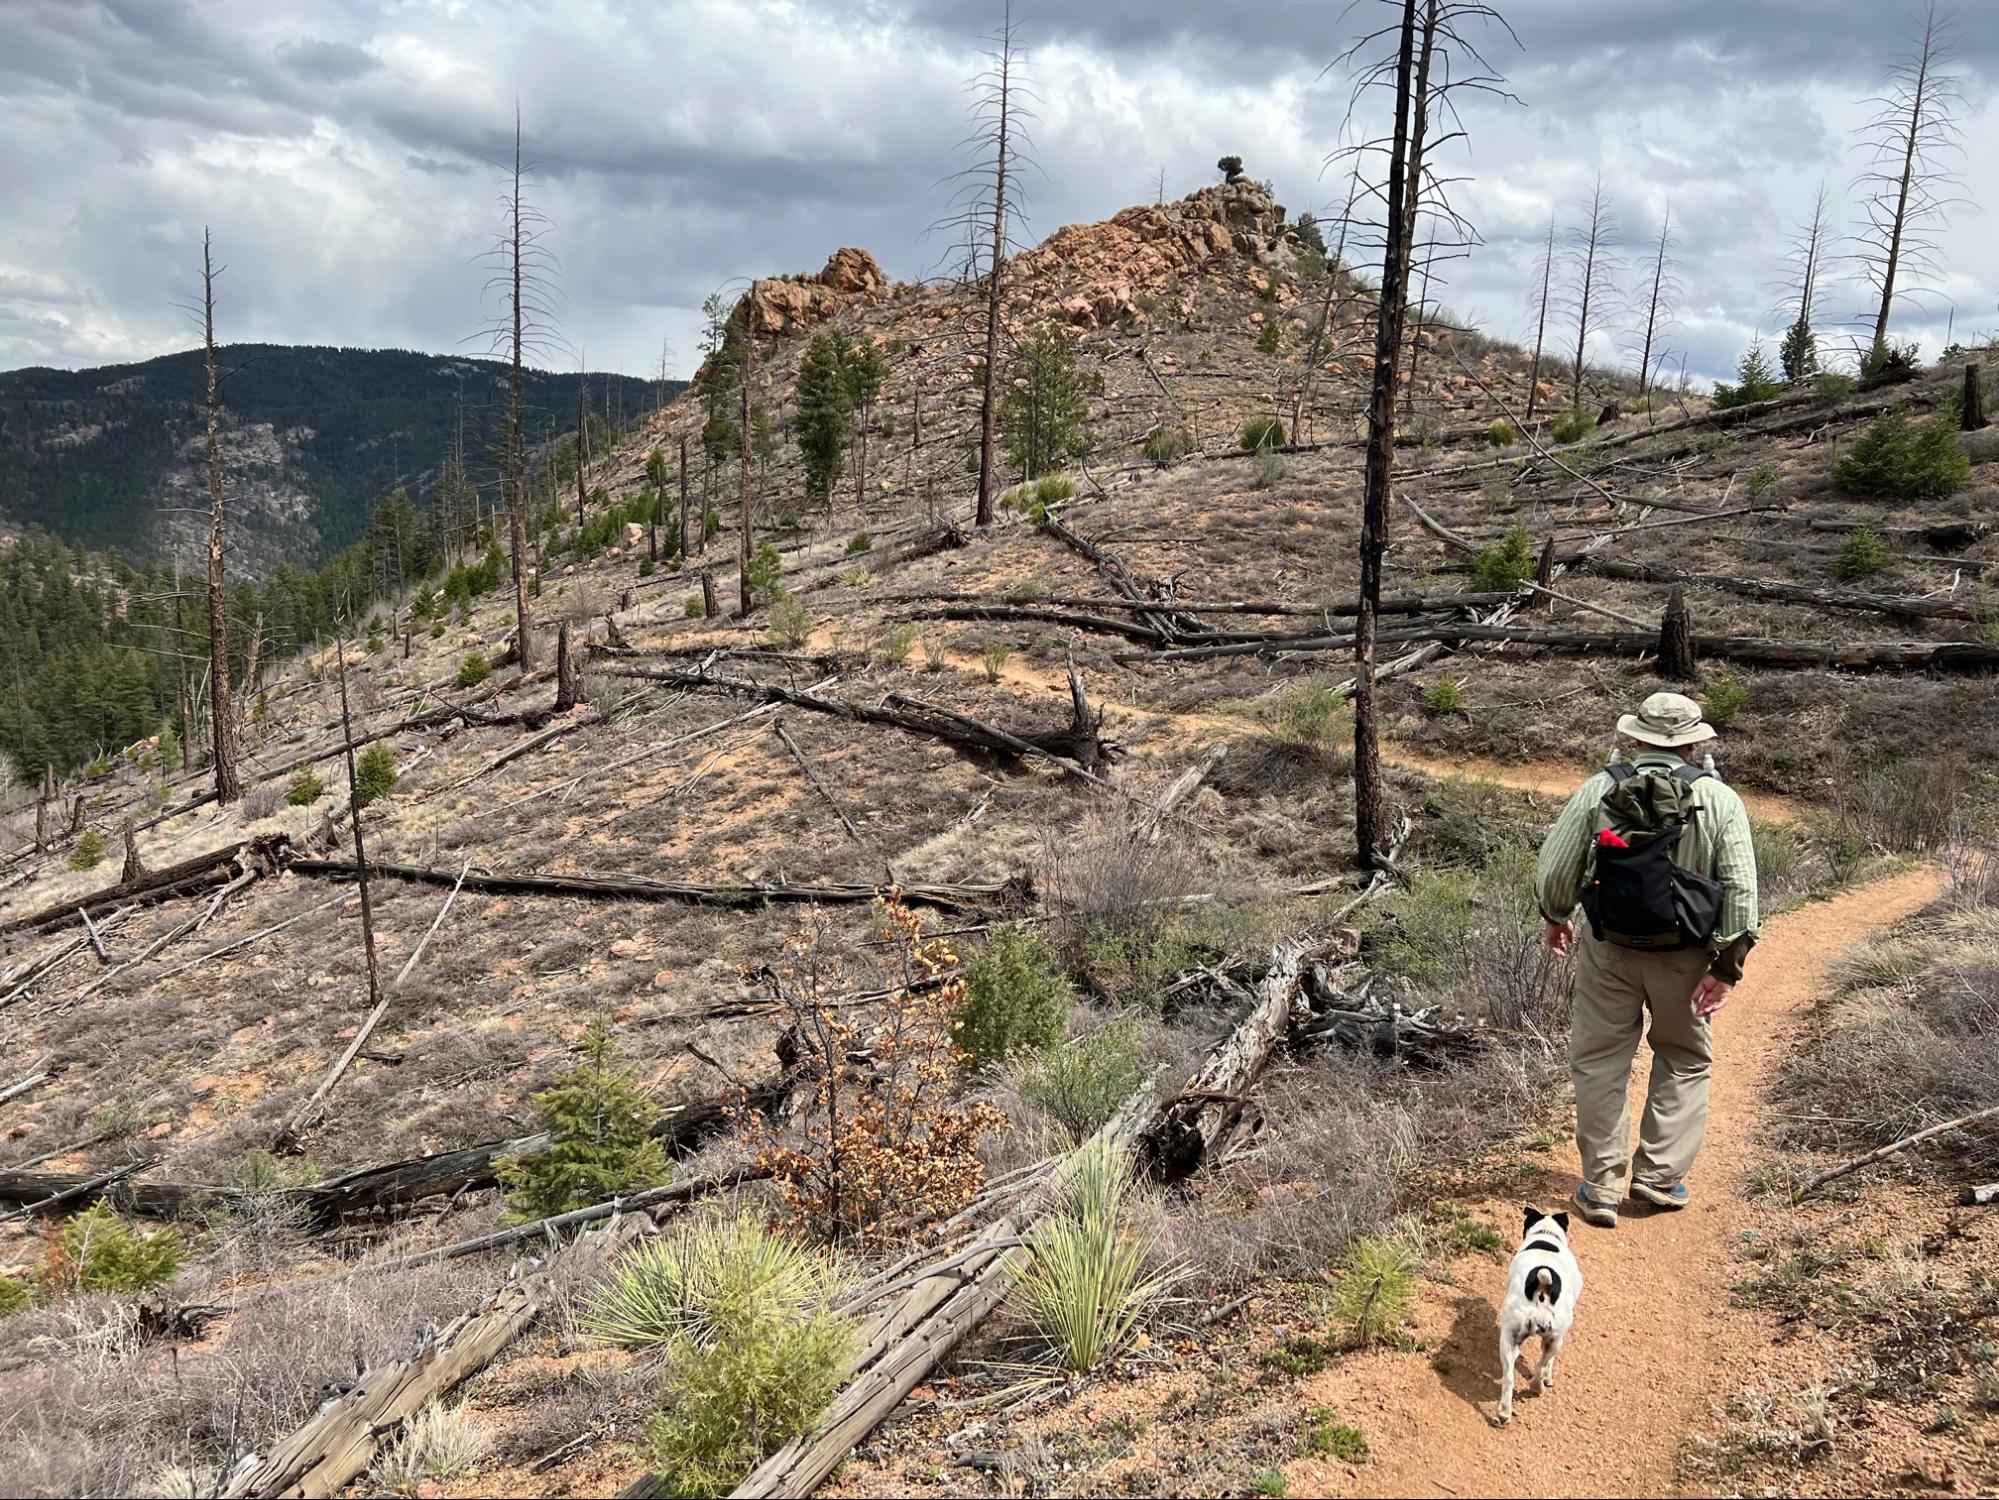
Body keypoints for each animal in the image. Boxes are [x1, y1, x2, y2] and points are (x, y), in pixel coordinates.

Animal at [1495, 1208, 1583, 1424]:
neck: (1546, 1233)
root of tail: (1542, 1286)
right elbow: (1548, 1365)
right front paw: (1548, 1379)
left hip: (1509, 1340)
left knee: (1509, 1378)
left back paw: (1504, 1413)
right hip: (1555, 1340)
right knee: (1541, 1366)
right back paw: (1538, 1387)